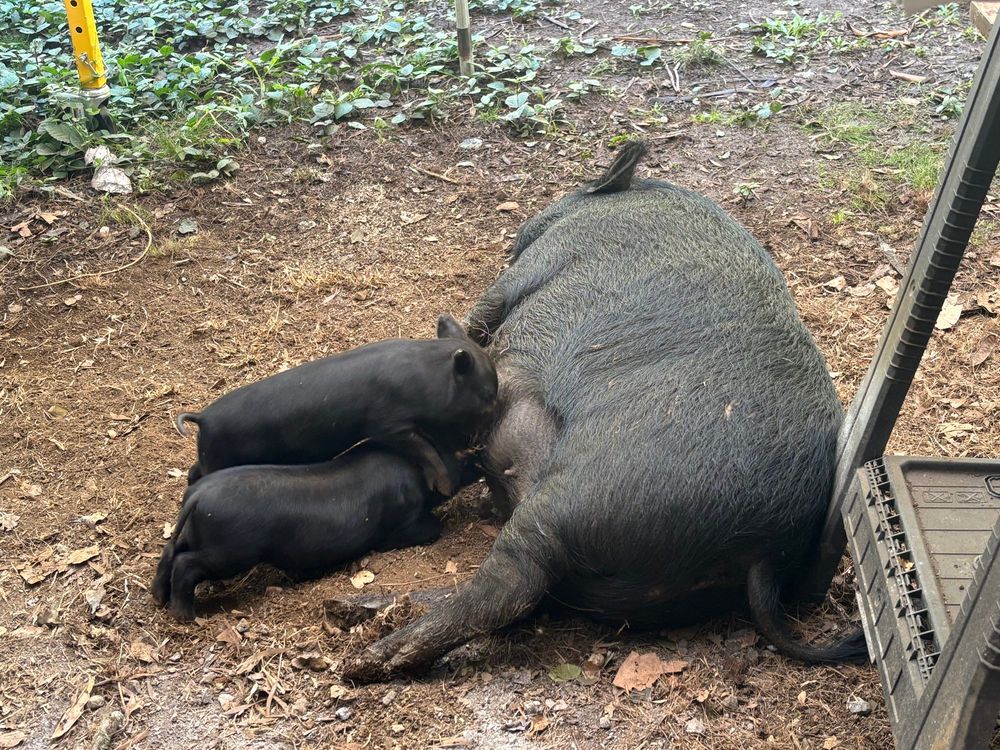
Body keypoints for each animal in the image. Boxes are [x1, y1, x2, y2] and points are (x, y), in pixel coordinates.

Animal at [151, 445, 475, 621]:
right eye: (460, 455)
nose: (477, 456)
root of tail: (196, 495)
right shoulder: (400, 523)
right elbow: (431, 528)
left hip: (195, 535)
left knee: (169, 552)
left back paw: (157, 599)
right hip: (230, 550)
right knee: (185, 563)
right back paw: (185, 615)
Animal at [174, 314, 497, 495]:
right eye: (486, 396)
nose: (479, 440)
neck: (426, 379)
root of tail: (203, 418)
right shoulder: (389, 424)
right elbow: (424, 449)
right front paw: (443, 487)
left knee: (192, 472)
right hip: (220, 457)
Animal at [342, 141, 866, 682]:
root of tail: (764, 551)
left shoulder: (532, 267)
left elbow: (479, 313)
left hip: (577, 499)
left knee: (509, 587)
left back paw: (366, 656)